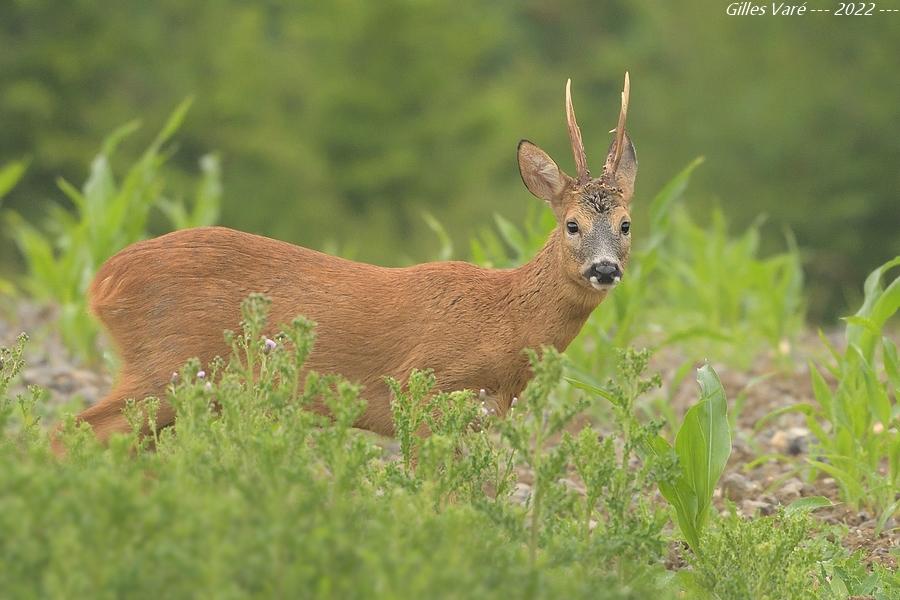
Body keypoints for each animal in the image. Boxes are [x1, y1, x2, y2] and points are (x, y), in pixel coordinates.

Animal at [63, 74, 636, 446]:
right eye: (572, 224)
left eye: (627, 224)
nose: (605, 269)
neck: (503, 319)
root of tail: (102, 282)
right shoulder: (423, 388)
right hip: (165, 363)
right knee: (75, 431)